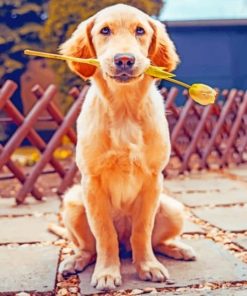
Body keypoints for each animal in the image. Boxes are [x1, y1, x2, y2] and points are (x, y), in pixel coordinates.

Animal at [58, 3, 196, 290]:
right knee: (90, 248)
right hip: (74, 202)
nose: (124, 60)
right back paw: (75, 261)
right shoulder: (92, 182)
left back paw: (177, 248)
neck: (124, 109)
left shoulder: (153, 179)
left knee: (153, 241)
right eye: (105, 30)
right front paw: (107, 272)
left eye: (140, 30)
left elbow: (142, 230)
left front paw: (148, 267)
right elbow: (105, 234)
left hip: (173, 208)